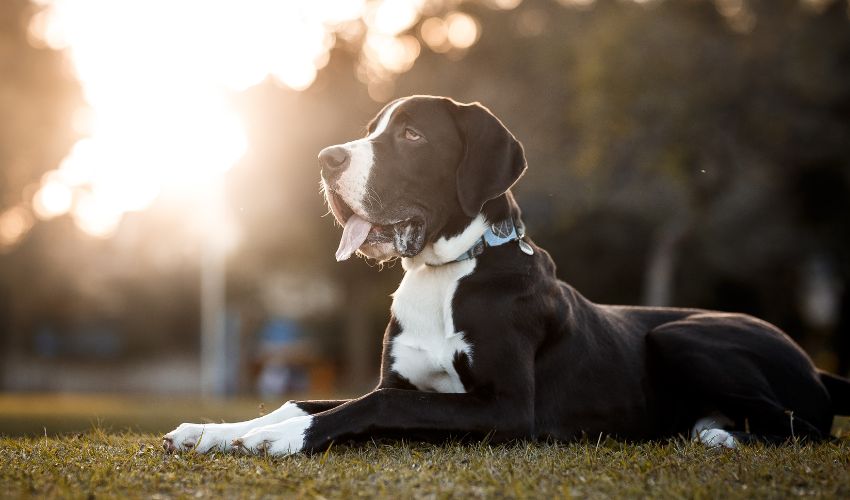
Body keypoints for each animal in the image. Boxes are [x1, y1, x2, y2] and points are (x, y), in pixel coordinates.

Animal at [162, 94, 844, 458]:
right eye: (368, 131)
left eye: (411, 135)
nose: (327, 158)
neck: (446, 272)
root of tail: (818, 368)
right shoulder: (405, 384)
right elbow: (307, 396)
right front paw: (215, 430)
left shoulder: (511, 410)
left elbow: (370, 404)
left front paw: (282, 440)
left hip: (682, 335)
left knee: (806, 429)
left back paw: (720, 436)